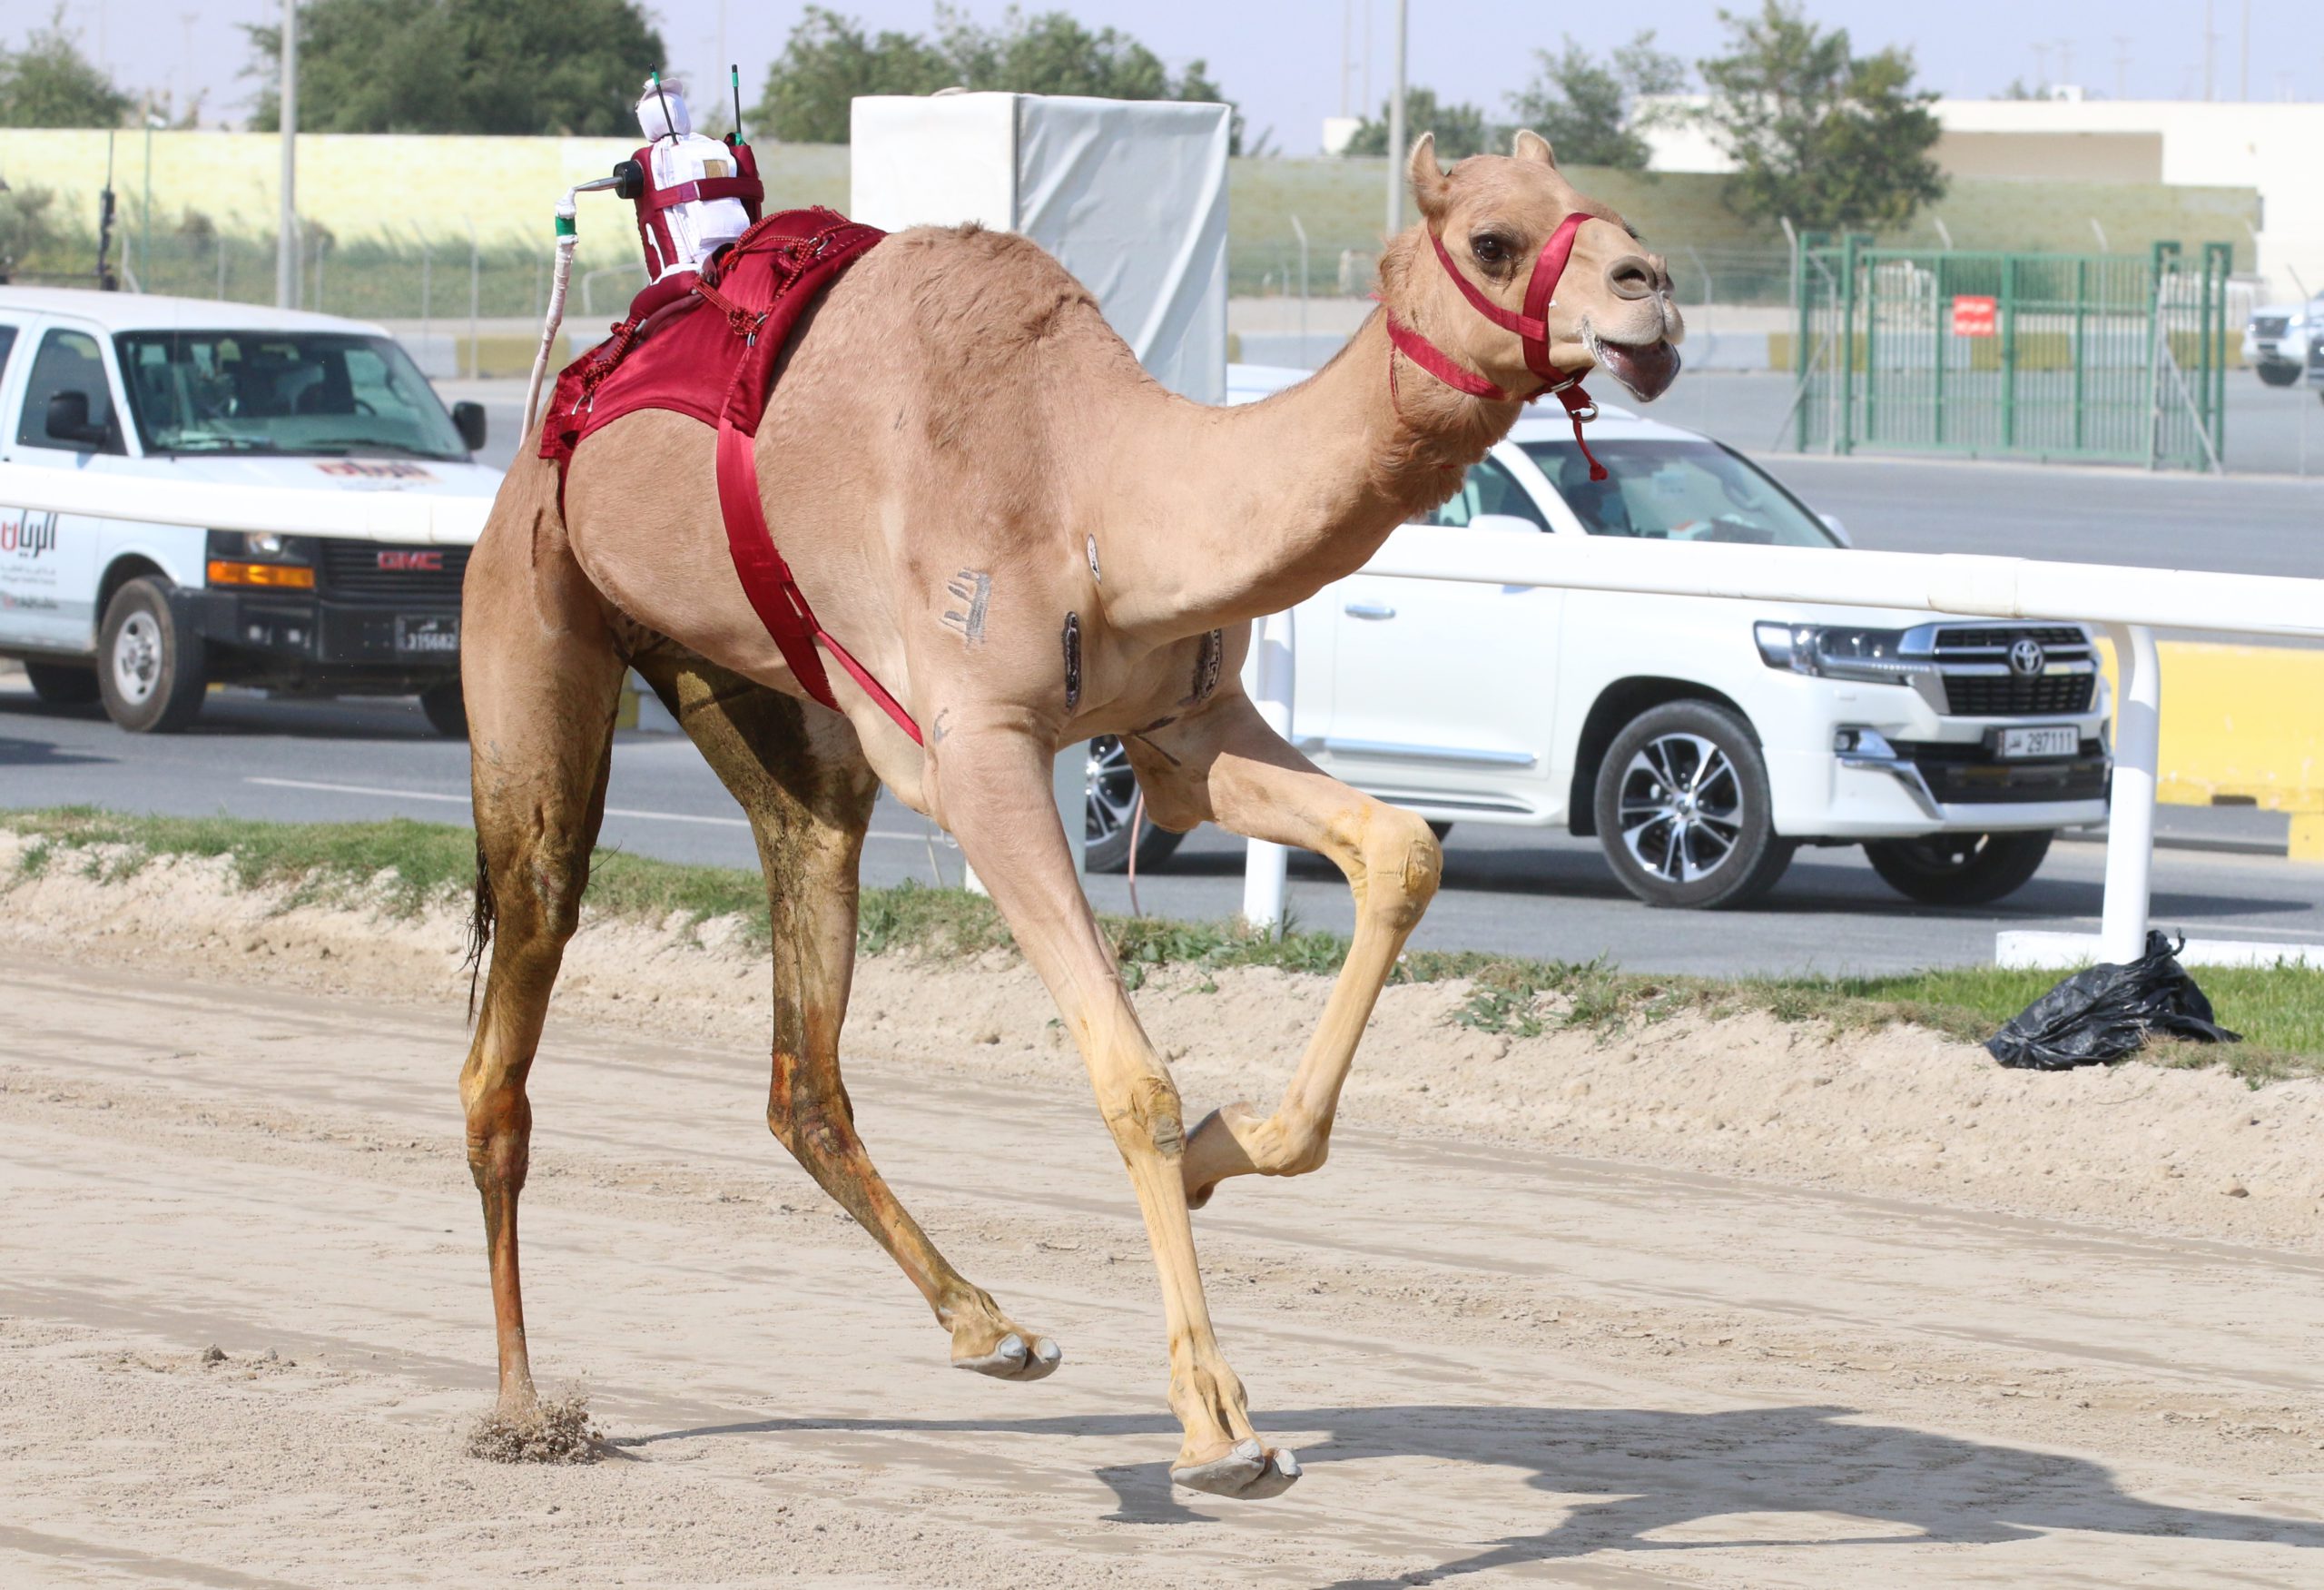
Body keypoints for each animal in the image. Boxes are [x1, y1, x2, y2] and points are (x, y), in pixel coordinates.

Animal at [458, 130, 1691, 1496]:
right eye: (1493, 240)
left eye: (1610, 210)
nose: (1649, 296)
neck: (1089, 484)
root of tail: (550, 427)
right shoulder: (981, 752)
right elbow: (1131, 1075)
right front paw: (1219, 1426)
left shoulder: (1186, 725)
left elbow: (1401, 847)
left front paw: (1227, 1144)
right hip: (534, 615)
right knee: (509, 1019)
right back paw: (523, 1406)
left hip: (753, 693)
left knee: (804, 1034)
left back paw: (990, 1327)